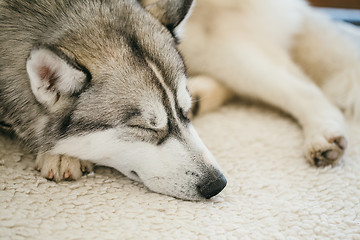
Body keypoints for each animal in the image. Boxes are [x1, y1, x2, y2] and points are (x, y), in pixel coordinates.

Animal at [0, 0, 358, 199]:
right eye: (145, 128)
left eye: (183, 112)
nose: (217, 184)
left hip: (217, 43)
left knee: (302, 85)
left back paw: (324, 133)